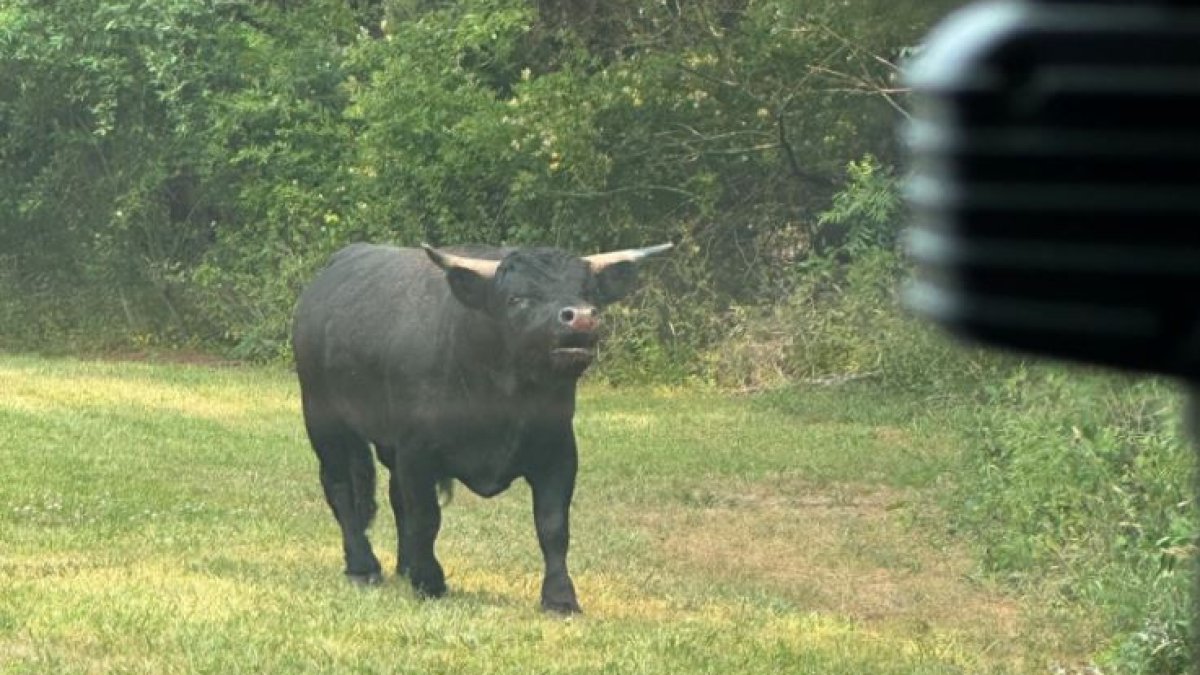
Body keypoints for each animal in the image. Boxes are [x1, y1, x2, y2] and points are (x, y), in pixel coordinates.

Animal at [291, 241, 672, 613]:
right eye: (517, 298)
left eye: (588, 293)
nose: (580, 317)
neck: (502, 398)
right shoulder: (417, 452)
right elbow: (426, 516)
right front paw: (430, 580)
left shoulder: (559, 451)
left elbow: (553, 525)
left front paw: (560, 597)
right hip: (324, 421)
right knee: (341, 489)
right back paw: (362, 565)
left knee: (395, 496)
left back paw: (405, 566)